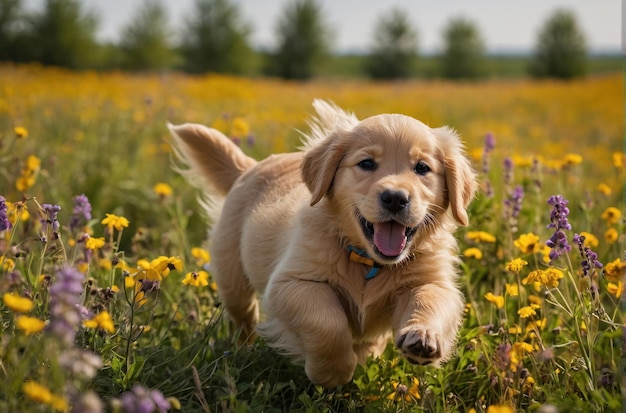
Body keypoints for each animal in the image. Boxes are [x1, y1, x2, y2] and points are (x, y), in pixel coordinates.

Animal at [168, 99, 476, 386]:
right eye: (366, 163)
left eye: (422, 168)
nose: (395, 198)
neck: (367, 262)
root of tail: (251, 167)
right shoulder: (290, 283)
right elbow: (327, 320)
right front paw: (332, 373)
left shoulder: (431, 280)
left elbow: (430, 299)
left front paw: (423, 337)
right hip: (232, 273)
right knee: (243, 318)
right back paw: (242, 351)